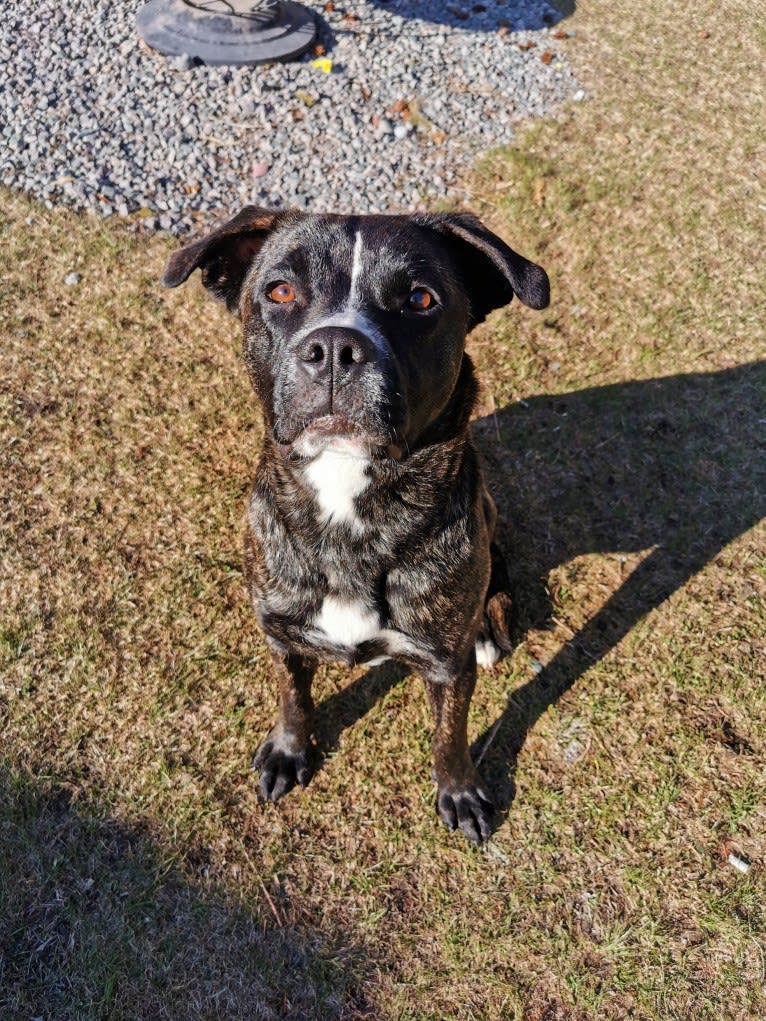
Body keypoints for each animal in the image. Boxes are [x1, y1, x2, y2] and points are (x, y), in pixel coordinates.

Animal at [165, 203, 551, 841]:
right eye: (280, 290)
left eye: (419, 299)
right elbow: (293, 700)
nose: (334, 348)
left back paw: (489, 622)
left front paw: (460, 791)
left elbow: (450, 736)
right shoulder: (281, 634)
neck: (348, 496)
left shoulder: (446, 666)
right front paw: (289, 751)